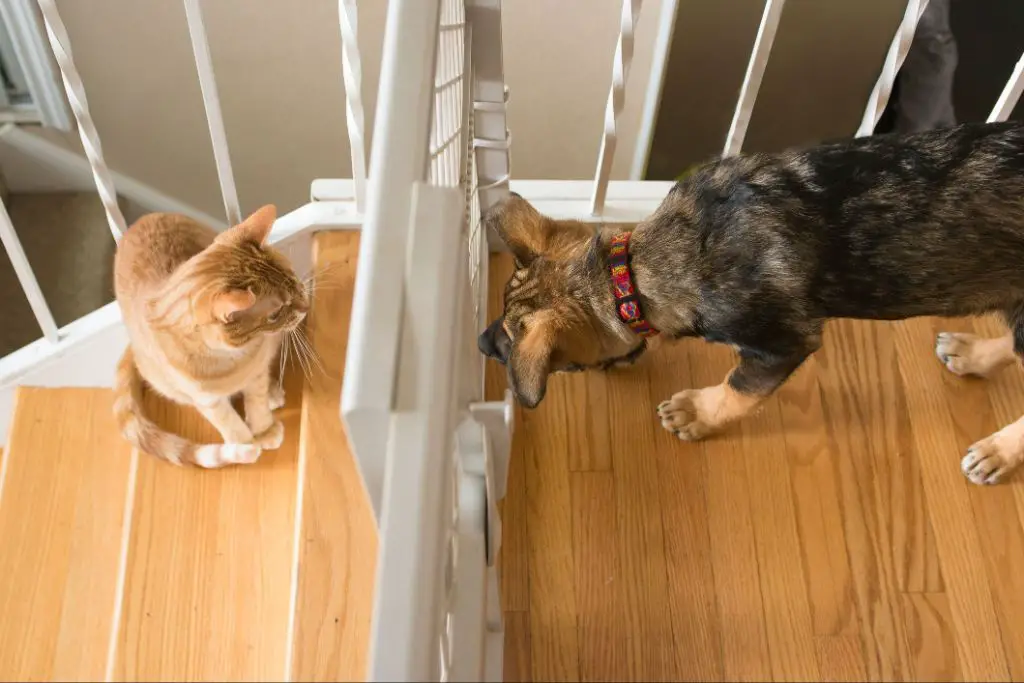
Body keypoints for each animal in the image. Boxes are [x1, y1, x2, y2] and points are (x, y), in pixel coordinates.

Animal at [110, 205, 307, 466]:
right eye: (275, 314)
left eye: (294, 281)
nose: (305, 308)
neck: (232, 359)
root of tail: (136, 223)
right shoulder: (207, 401)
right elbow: (229, 423)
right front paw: (245, 446)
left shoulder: (256, 374)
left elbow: (257, 400)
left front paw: (264, 430)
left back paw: (273, 393)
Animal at [479, 121, 1024, 485]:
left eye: (559, 364)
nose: (481, 343)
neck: (635, 271)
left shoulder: (780, 343)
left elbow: (739, 388)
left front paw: (698, 413)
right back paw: (973, 354)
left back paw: (998, 451)